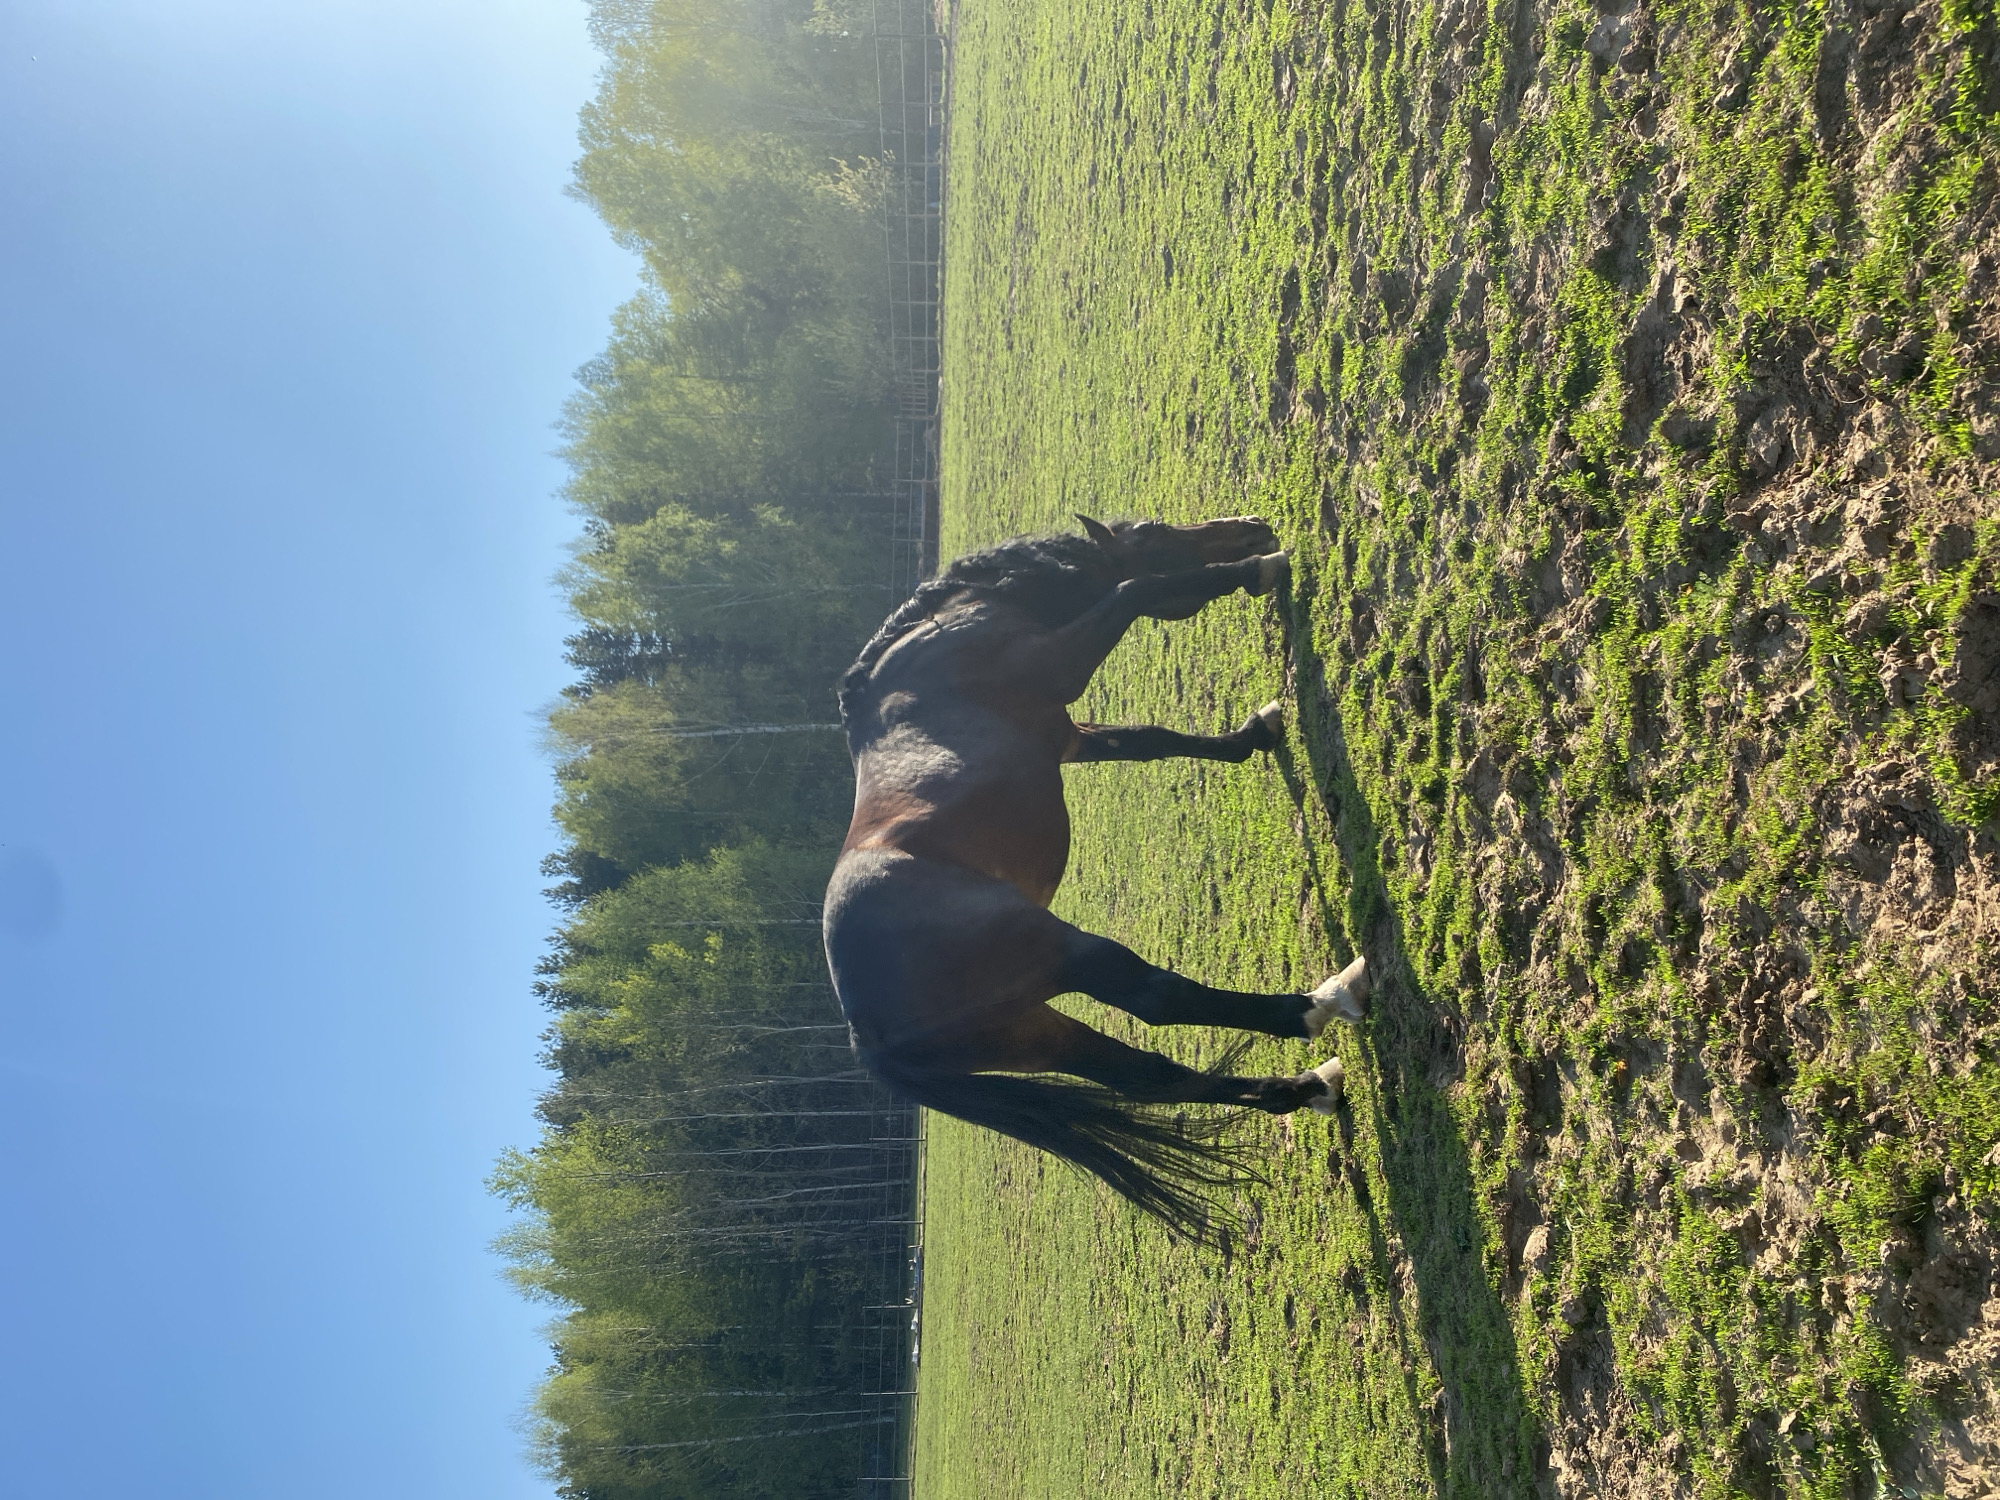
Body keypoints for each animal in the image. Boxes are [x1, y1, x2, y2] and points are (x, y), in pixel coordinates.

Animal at [822, 515, 1369, 1238]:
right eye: (1155, 531)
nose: (1253, 528)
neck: (939, 640)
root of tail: (866, 1028)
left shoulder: (1073, 735)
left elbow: (1152, 738)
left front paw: (1256, 731)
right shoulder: (1061, 664)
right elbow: (1137, 589)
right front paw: (1260, 570)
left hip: (1037, 1035)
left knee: (1158, 1077)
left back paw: (1309, 1088)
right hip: (1066, 952)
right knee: (1161, 1001)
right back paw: (1324, 1001)